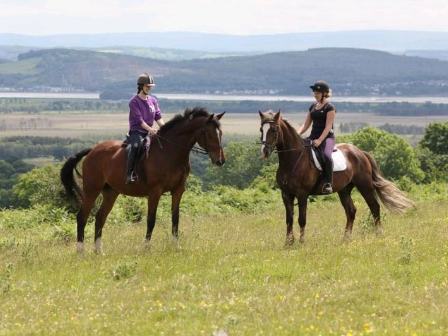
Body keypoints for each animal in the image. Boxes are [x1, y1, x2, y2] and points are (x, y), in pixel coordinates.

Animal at [61, 107, 226, 255]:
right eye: (210, 134)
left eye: (221, 133)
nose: (220, 161)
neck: (171, 152)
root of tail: (92, 150)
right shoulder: (155, 191)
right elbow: (151, 219)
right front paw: (147, 248)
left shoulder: (178, 190)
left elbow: (175, 218)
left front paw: (176, 246)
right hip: (92, 190)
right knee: (82, 217)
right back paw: (81, 251)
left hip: (111, 192)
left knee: (100, 218)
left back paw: (99, 251)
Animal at [260, 110, 412, 244]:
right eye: (262, 130)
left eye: (274, 130)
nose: (265, 152)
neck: (292, 159)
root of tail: (360, 152)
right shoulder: (286, 194)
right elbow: (289, 219)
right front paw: (288, 243)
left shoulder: (302, 194)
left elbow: (301, 219)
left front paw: (301, 242)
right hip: (344, 189)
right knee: (351, 211)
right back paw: (346, 239)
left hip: (365, 185)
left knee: (374, 207)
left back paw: (379, 235)